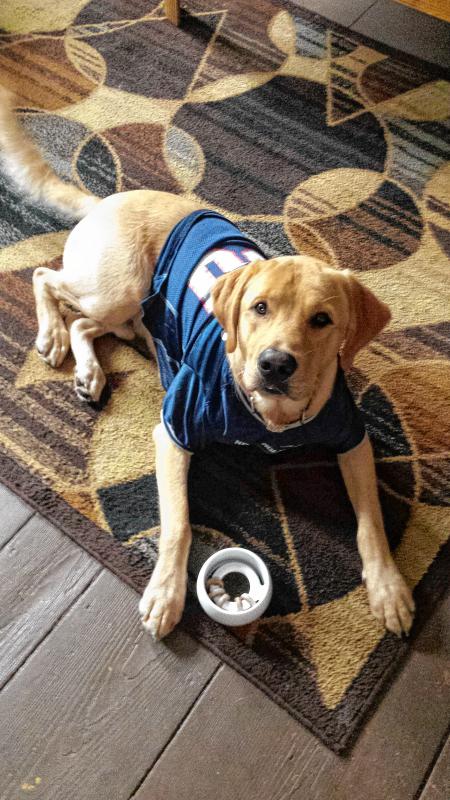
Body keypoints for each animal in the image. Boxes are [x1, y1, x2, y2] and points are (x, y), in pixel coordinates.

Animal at [0, 86, 414, 636]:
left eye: (322, 320)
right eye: (259, 308)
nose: (275, 365)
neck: (271, 415)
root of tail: (108, 199)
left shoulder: (353, 438)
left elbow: (372, 524)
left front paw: (388, 588)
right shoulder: (173, 431)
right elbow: (177, 525)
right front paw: (165, 593)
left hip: (126, 305)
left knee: (86, 324)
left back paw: (91, 370)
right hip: (117, 286)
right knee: (47, 279)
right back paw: (51, 334)